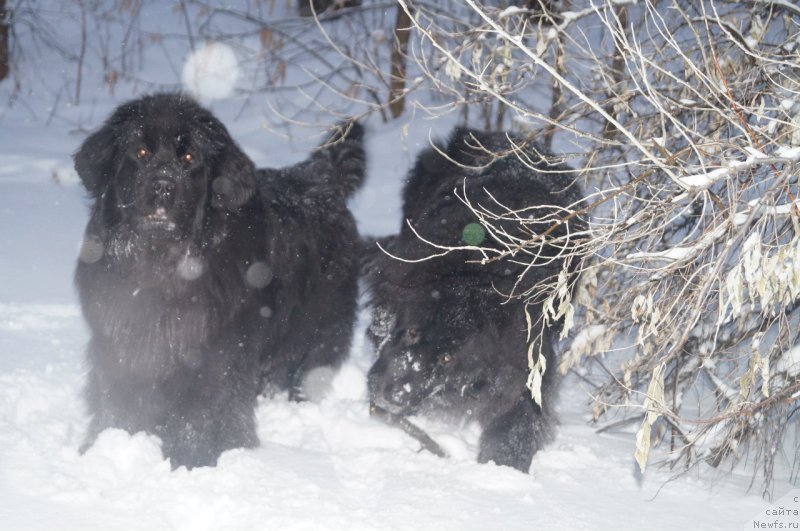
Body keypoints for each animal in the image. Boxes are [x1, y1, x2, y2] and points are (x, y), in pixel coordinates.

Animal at [74, 93, 362, 468]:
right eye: (141, 152)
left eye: (188, 158)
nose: (163, 186)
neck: (161, 263)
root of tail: (320, 179)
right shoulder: (121, 339)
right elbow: (118, 397)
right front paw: (109, 444)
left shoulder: (216, 350)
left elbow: (202, 409)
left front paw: (193, 458)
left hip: (318, 328)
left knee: (307, 370)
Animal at [362, 129, 580, 474]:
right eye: (411, 332)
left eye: (447, 359)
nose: (395, 396)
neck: (476, 270)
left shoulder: (526, 354)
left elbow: (520, 414)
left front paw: (503, 467)